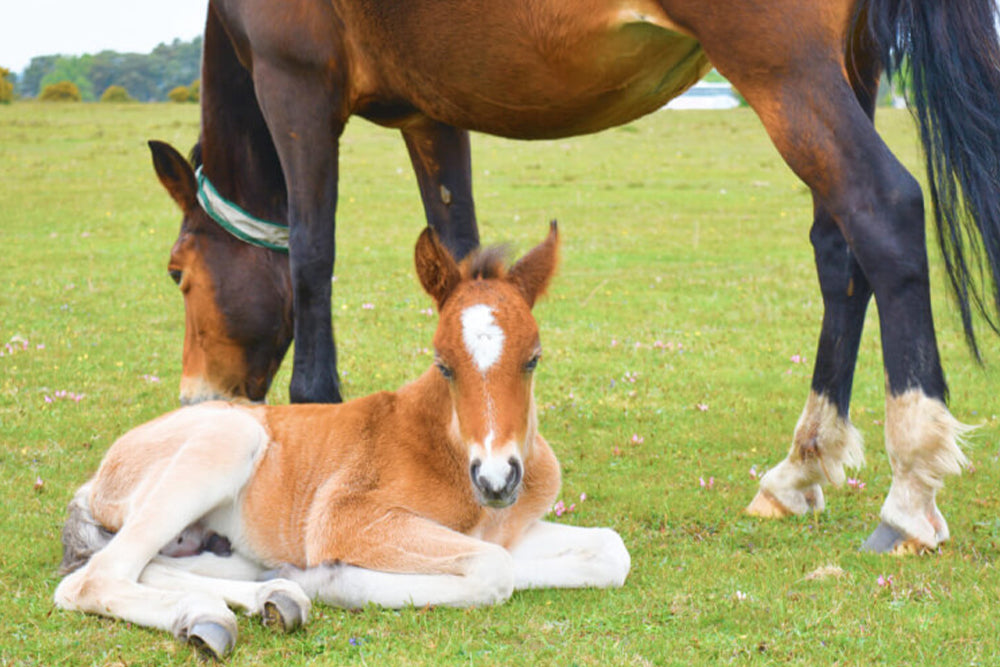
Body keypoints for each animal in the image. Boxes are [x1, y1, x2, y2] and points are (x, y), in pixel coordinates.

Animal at [53, 224, 631, 660]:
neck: (445, 446)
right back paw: (218, 613)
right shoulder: (348, 517)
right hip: (231, 436)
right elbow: (494, 569)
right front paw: (330, 578)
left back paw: (273, 594)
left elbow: (608, 551)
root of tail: (96, 479)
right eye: (443, 363)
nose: (495, 480)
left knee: (147, 564)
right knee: (91, 579)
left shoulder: (507, 528)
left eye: (533, 358)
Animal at [155, 0, 1000, 554]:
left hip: (786, 70)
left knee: (883, 211)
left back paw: (909, 491)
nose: (195, 401)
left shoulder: (295, 87)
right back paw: (800, 467)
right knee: (839, 255)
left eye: (176, 273)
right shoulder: (432, 112)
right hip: (851, 67)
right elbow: (463, 256)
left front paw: (317, 409)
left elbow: (311, 253)